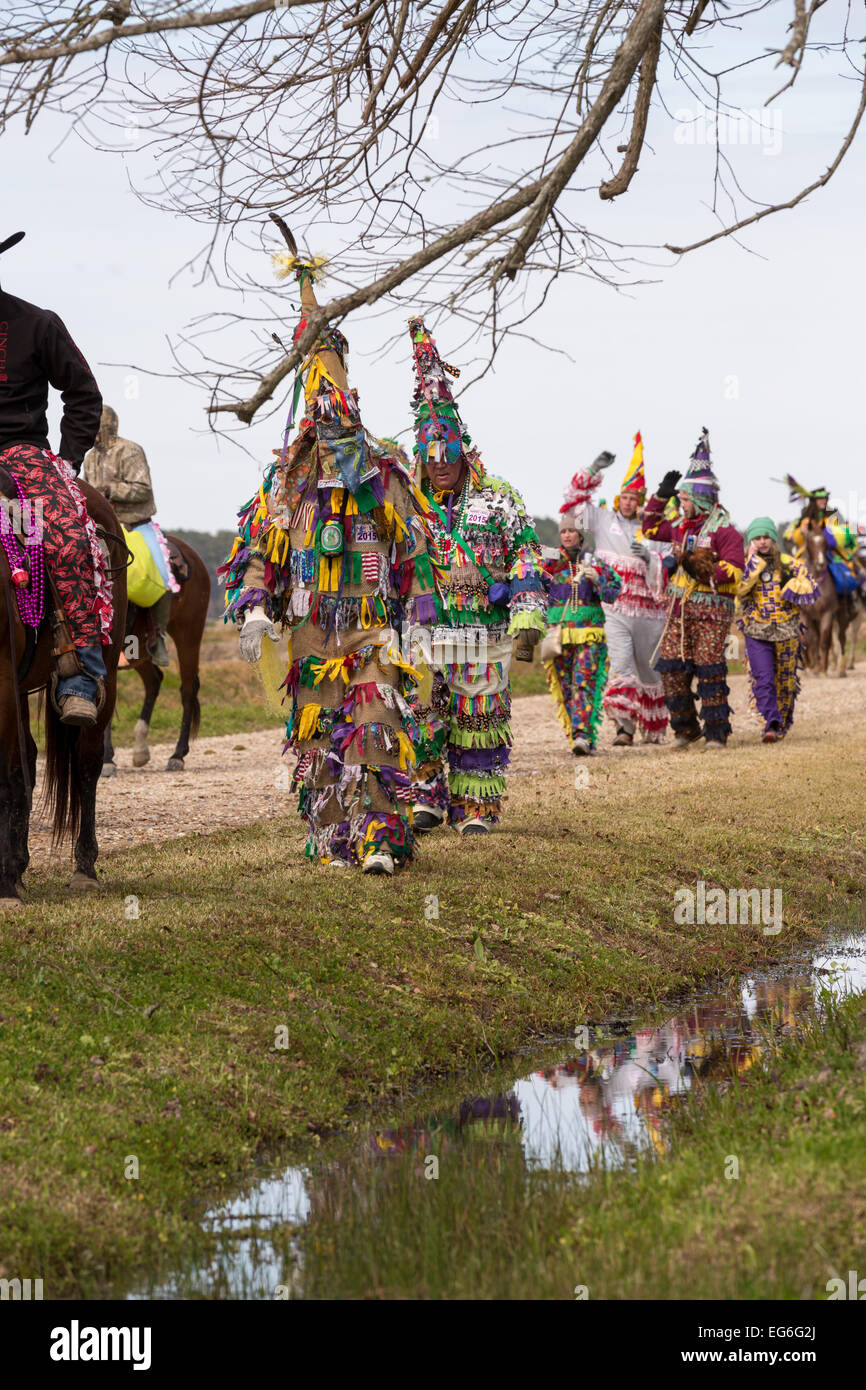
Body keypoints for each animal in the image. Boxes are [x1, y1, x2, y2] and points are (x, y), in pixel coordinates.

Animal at [100, 533, 209, 778]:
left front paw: (106, 759)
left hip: (188, 634)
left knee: (188, 689)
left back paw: (177, 755)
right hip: (139, 652)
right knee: (154, 680)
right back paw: (141, 749)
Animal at [800, 528, 845, 675]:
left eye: (825, 543)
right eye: (810, 541)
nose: (820, 564)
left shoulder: (827, 613)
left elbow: (824, 641)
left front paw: (823, 670)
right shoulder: (806, 614)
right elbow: (807, 640)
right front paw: (810, 667)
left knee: (840, 638)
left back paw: (840, 669)